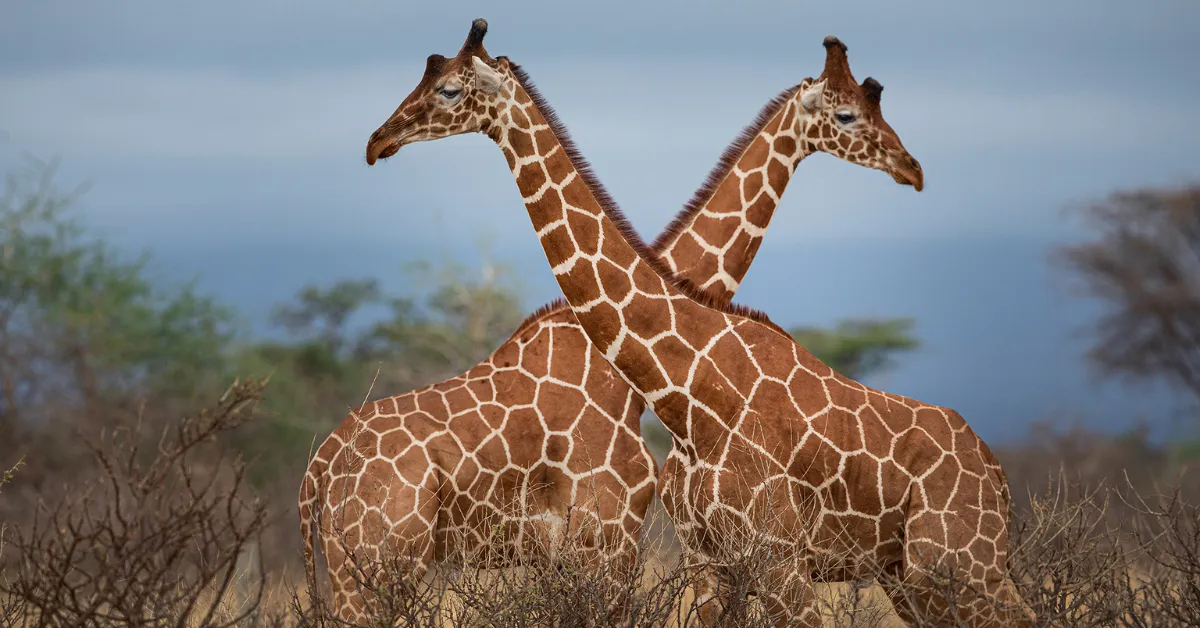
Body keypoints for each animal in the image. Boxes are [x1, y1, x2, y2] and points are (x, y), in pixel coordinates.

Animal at [363, 19, 1034, 628]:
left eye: (449, 88)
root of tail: (998, 474)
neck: (687, 392)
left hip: (956, 562)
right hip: (916, 575)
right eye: (847, 114)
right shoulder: (709, 560)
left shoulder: (774, 557)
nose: (378, 140)